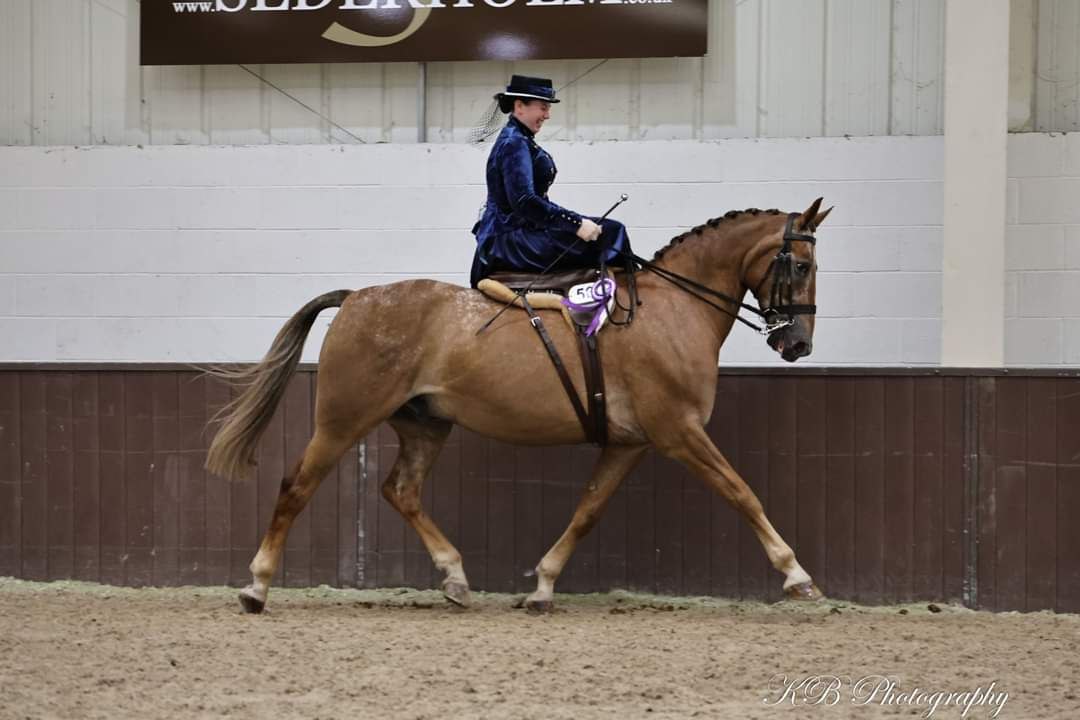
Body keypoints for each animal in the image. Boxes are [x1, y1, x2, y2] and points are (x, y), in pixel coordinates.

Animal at [210, 198, 833, 613]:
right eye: (801, 266)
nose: (798, 345)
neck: (674, 307)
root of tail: (358, 297)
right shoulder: (679, 431)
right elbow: (742, 493)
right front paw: (797, 575)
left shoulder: (631, 443)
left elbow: (587, 510)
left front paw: (542, 586)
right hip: (344, 420)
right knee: (297, 486)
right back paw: (256, 587)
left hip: (425, 425)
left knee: (401, 491)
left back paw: (456, 579)